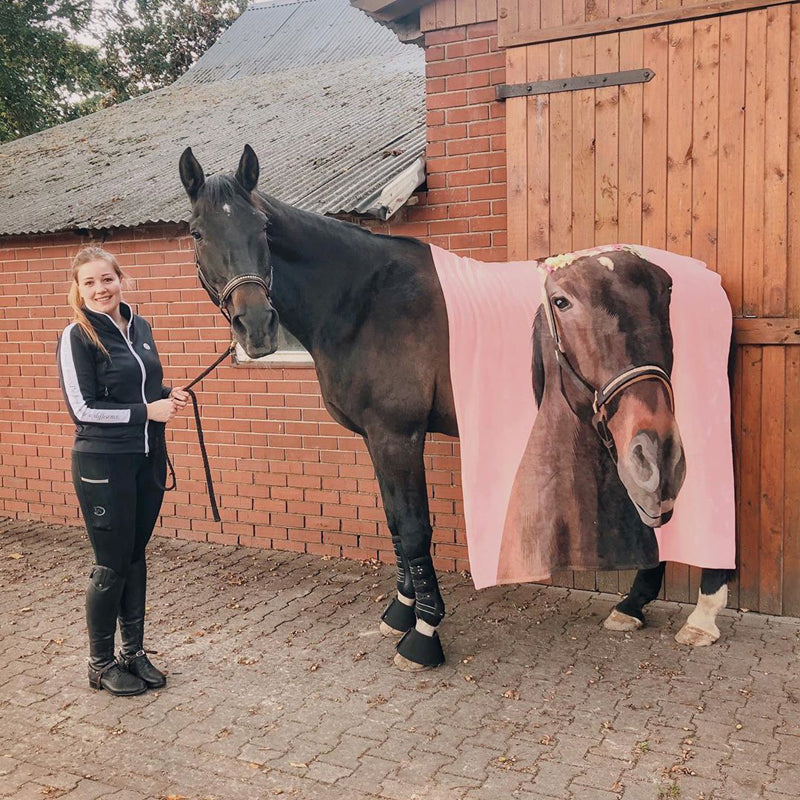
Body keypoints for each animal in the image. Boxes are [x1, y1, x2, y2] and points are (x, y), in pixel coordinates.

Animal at [180, 145, 732, 668]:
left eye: (262, 227)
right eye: (198, 233)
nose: (256, 326)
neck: (365, 299)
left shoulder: (397, 435)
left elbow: (413, 528)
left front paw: (423, 636)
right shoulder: (378, 439)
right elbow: (395, 524)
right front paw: (400, 613)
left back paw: (702, 616)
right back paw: (633, 605)